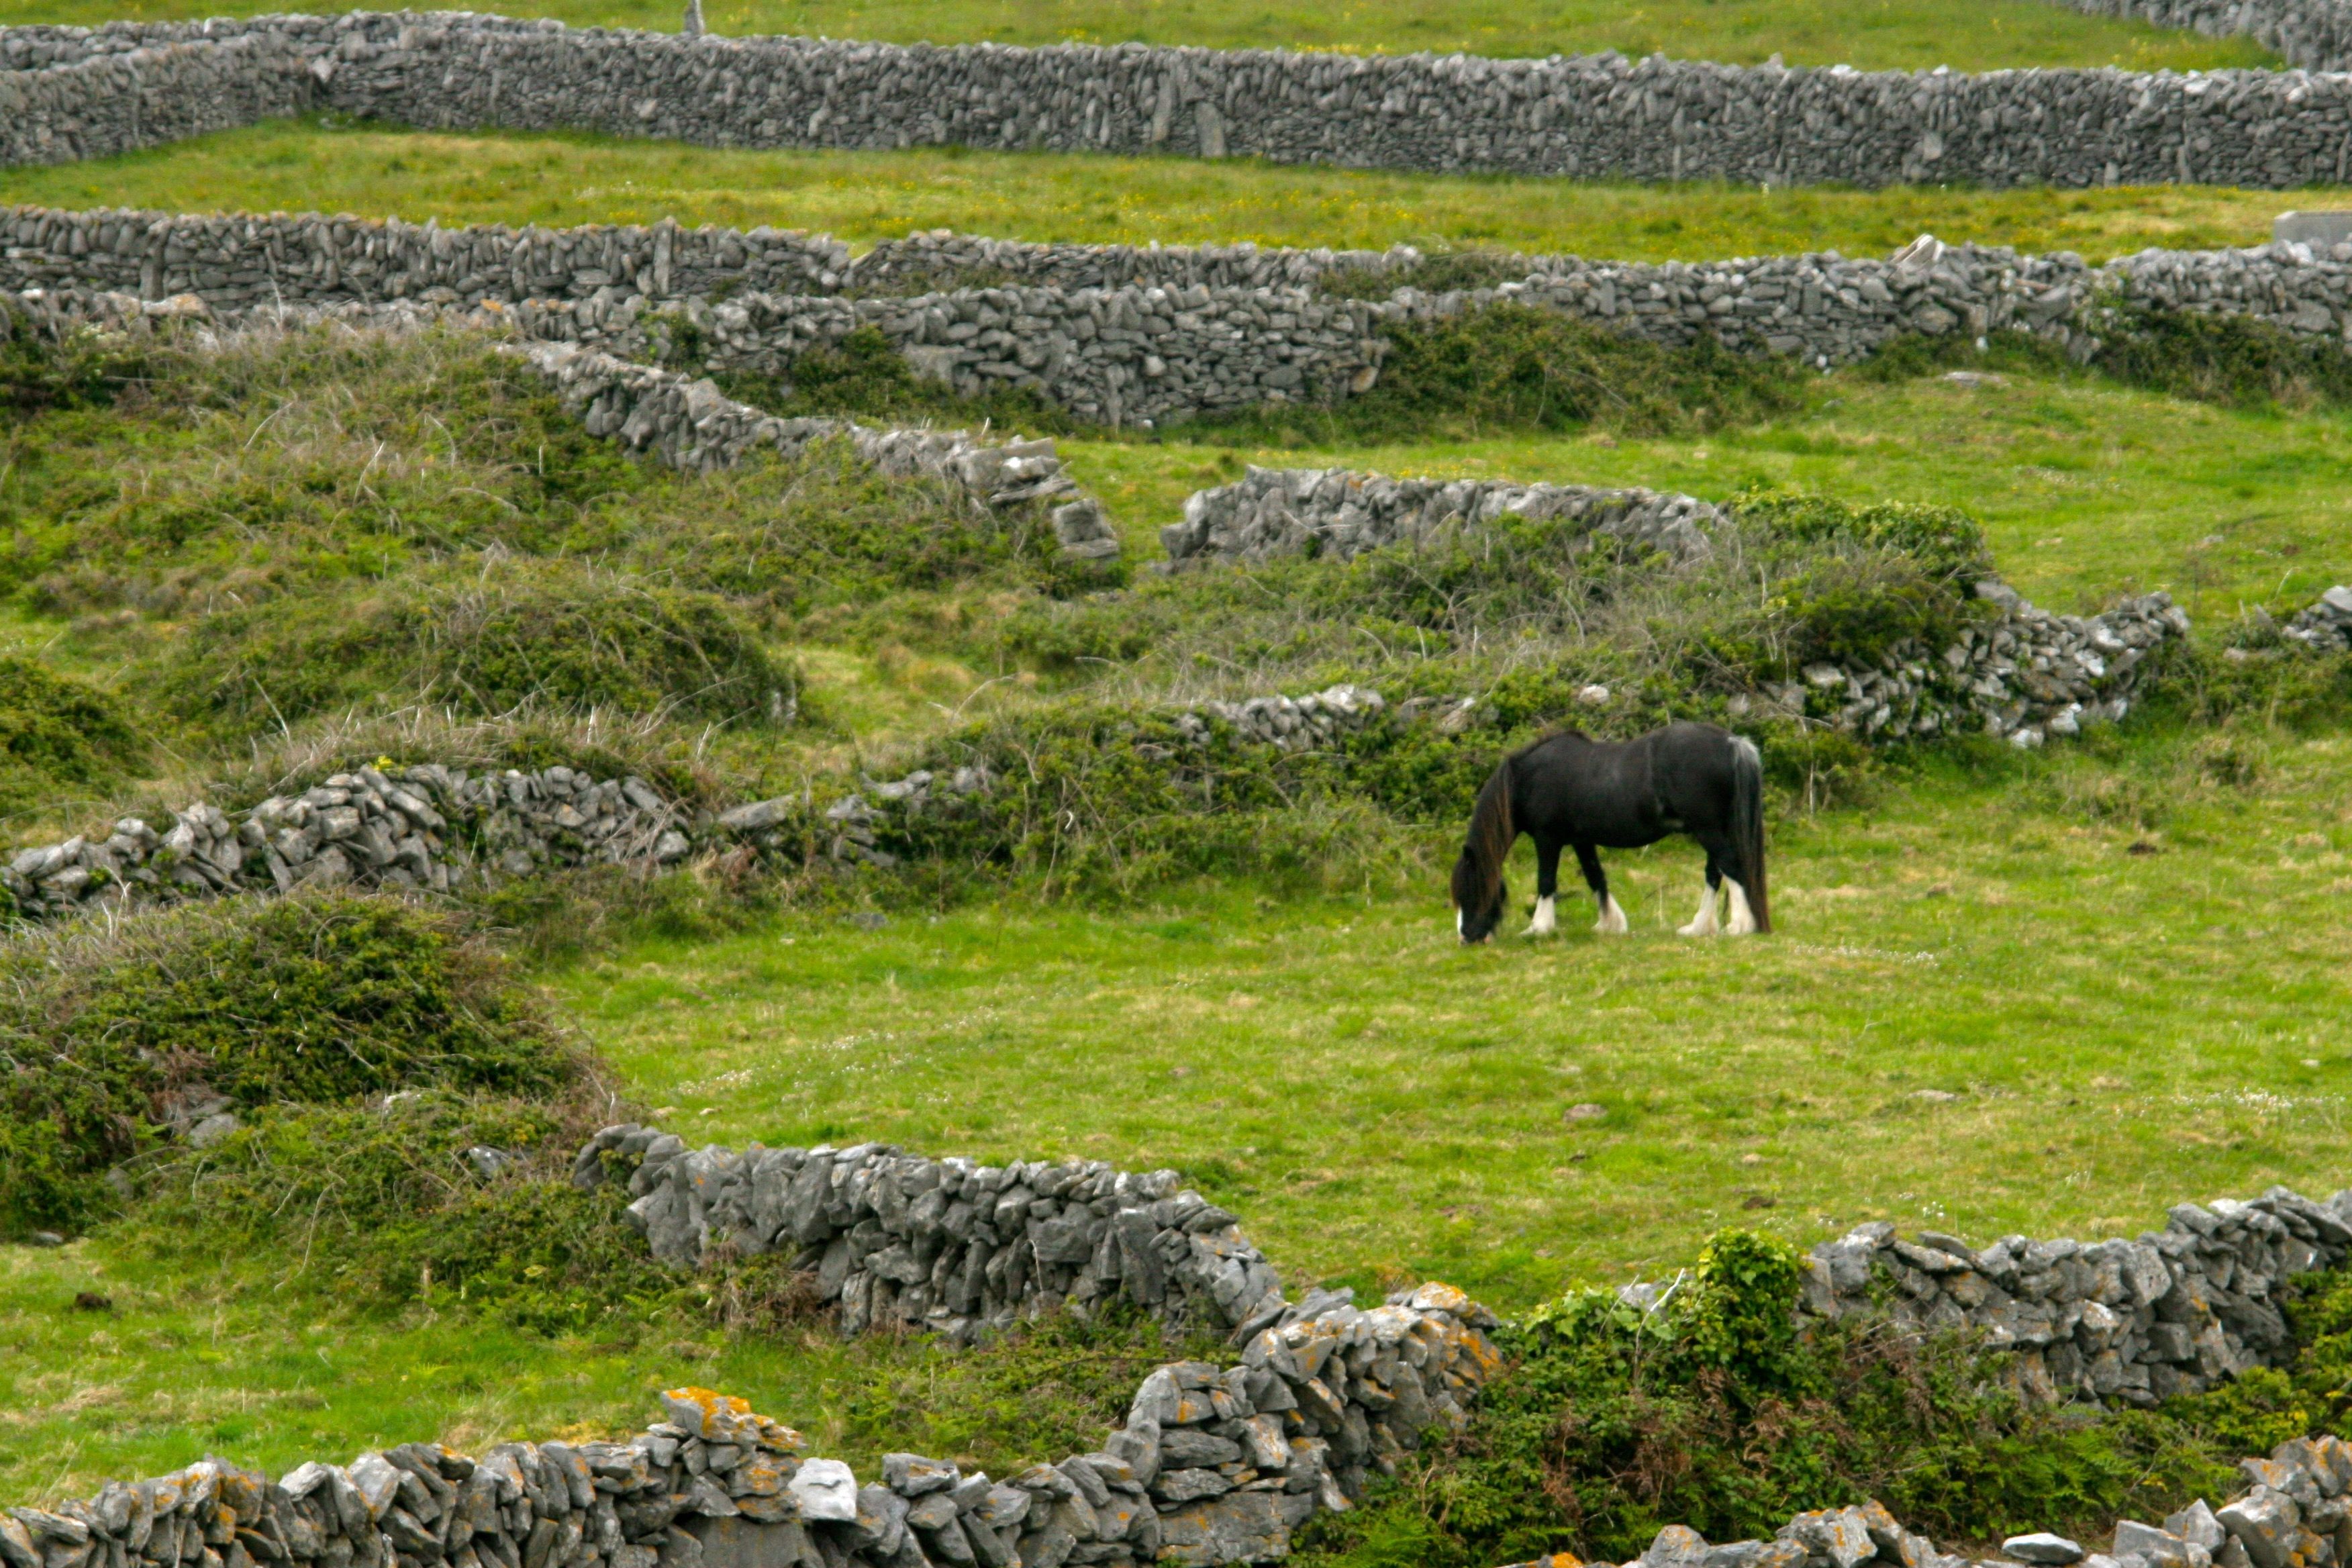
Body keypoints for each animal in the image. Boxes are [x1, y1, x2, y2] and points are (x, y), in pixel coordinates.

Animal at [1439, 724, 1769, 944]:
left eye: (1471, 890)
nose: (1466, 937)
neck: (1528, 779)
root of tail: (1731, 743)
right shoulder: (1581, 840)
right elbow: (1596, 877)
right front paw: (1610, 924)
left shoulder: (1548, 839)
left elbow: (1546, 882)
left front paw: (1538, 927)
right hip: (1713, 829)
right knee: (1715, 874)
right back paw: (1699, 927)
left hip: (1707, 829)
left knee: (1731, 868)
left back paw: (1740, 926)